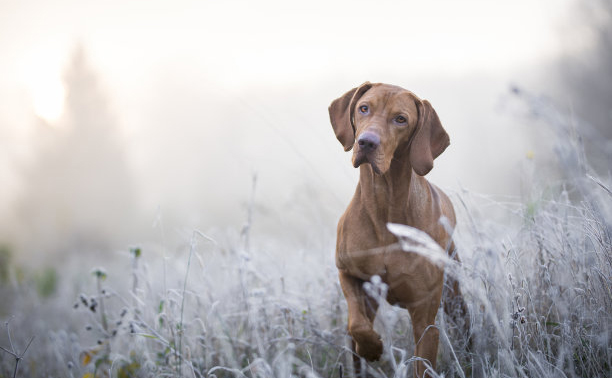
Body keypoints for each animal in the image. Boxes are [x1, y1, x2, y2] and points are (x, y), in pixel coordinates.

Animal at [330, 82, 464, 378]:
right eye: (363, 108)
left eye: (400, 119)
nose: (366, 142)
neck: (384, 206)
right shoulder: (348, 272)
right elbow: (358, 324)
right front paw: (371, 347)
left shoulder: (425, 317)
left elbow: (423, 364)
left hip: (454, 295)